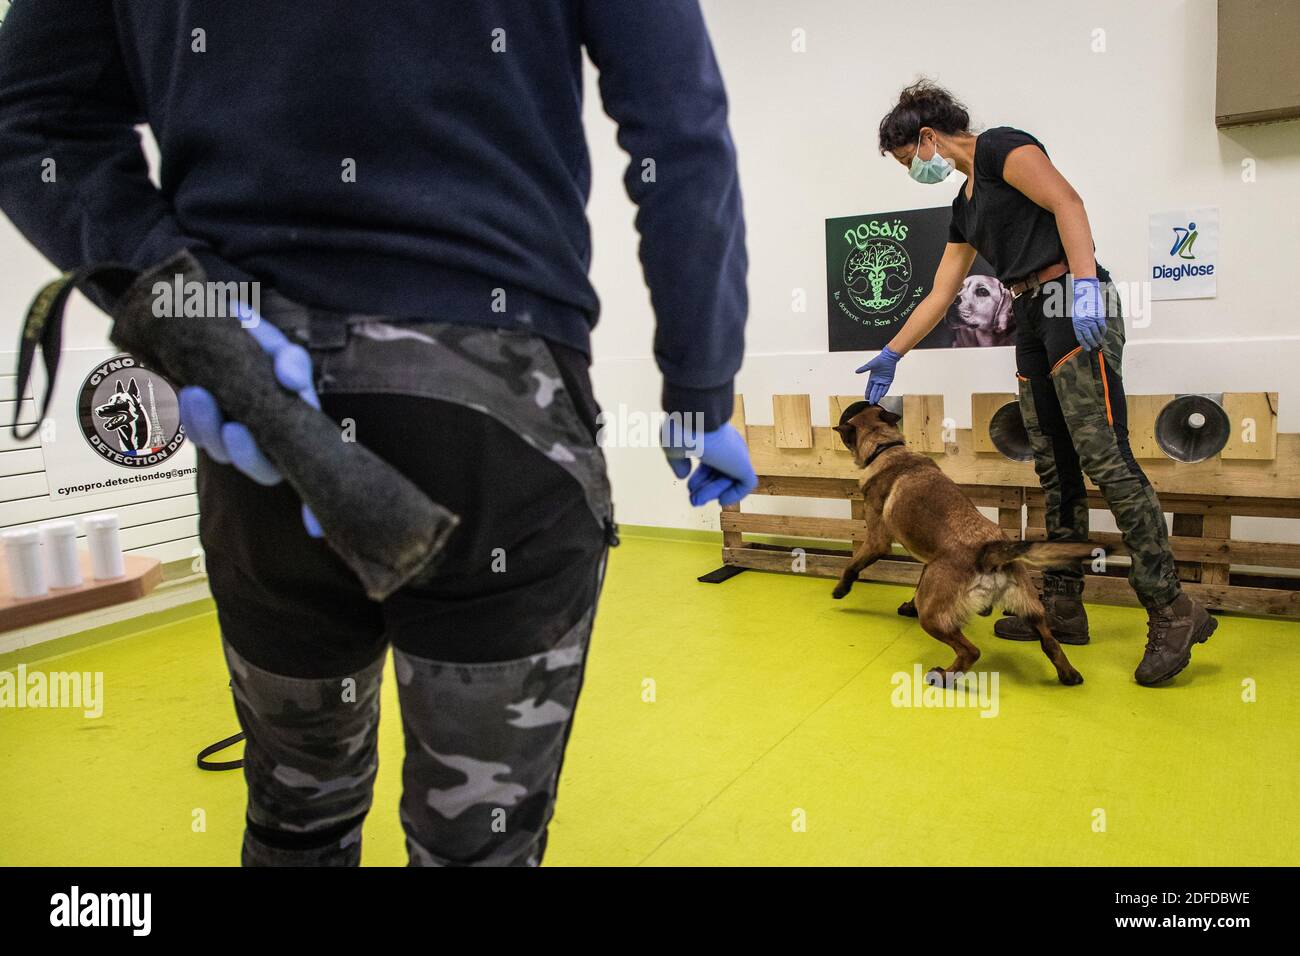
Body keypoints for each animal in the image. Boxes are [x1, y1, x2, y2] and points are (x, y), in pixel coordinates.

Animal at [832, 403, 1097, 686]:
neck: (887, 447)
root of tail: (992, 554)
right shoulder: (929, 564)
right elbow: (917, 586)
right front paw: (907, 606)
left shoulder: (877, 541)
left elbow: (852, 565)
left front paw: (841, 589)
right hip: (1031, 609)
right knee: (1051, 643)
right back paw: (1069, 674)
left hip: (932, 616)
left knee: (971, 651)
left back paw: (943, 676)